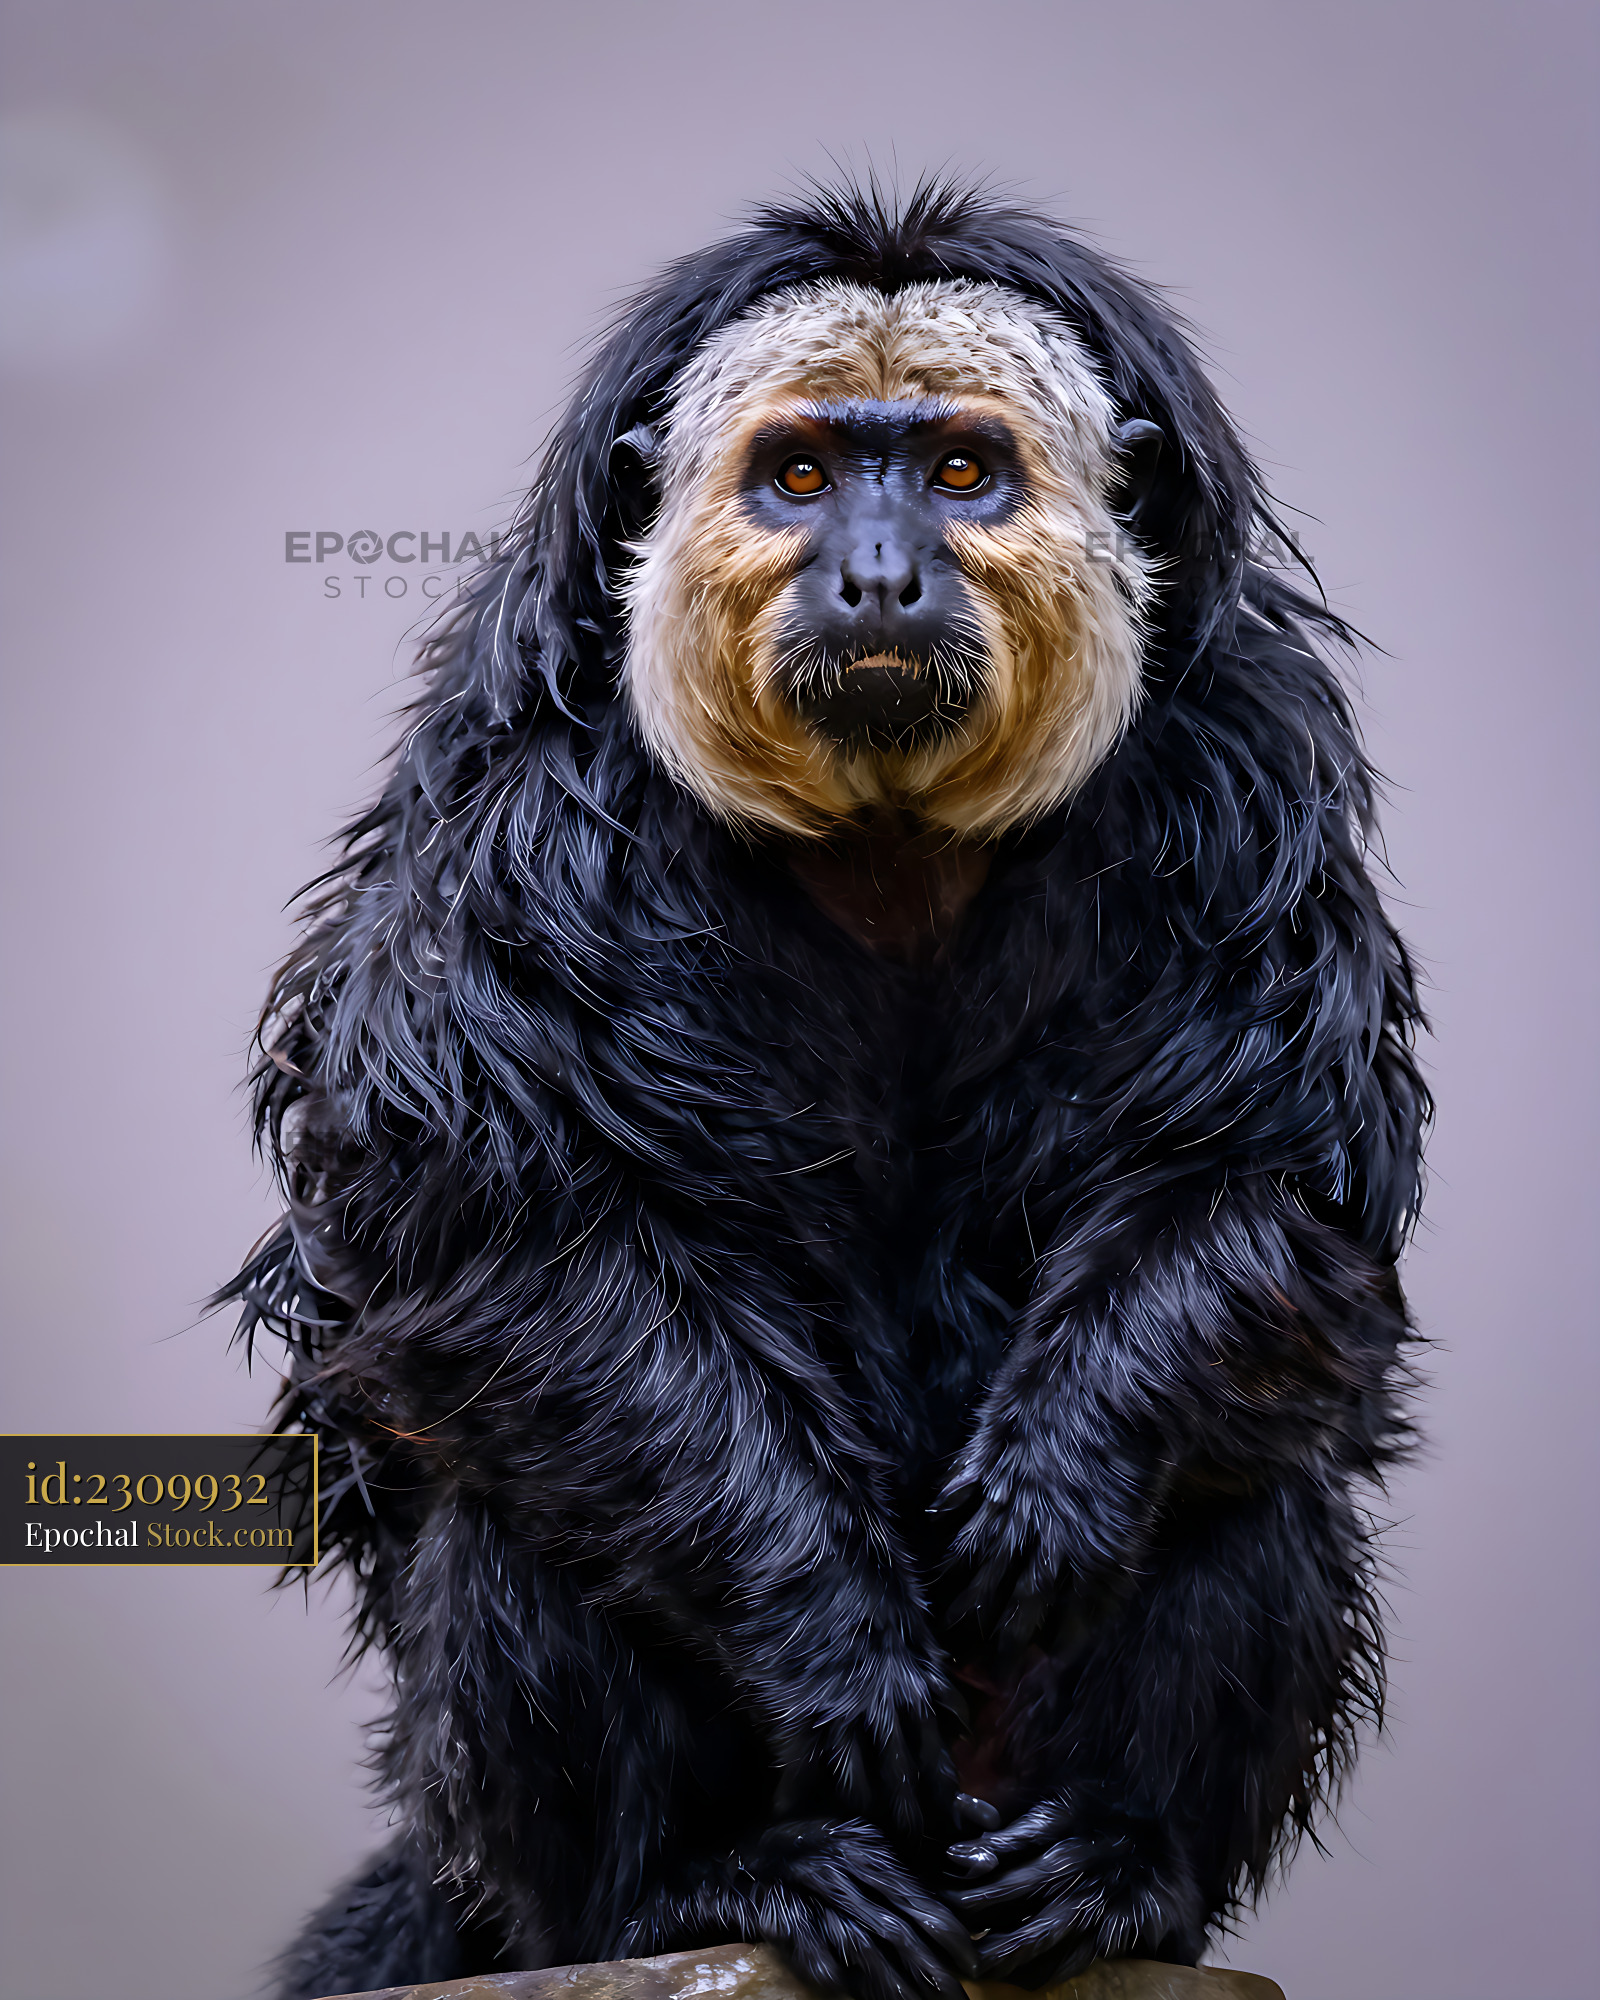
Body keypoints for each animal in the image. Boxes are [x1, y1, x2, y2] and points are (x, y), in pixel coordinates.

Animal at [230, 181, 1427, 2000]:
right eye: (800, 477)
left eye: (957, 470)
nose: (876, 575)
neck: (891, 843)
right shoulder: (533, 814)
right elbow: (506, 1226)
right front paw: (830, 1636)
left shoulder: (1240, 772)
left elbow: (1264, 1172)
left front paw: (1064, 1476)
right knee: (521, 1505)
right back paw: (713, 1887)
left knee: (1253, 1454)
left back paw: (1109, 1872)